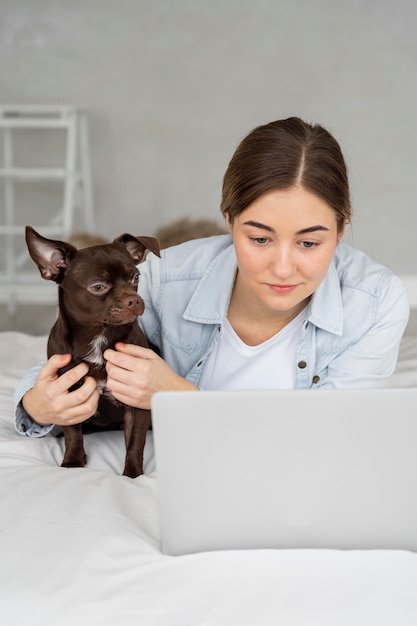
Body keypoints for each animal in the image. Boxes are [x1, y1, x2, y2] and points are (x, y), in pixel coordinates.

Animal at [25, 225, 160, 478]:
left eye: (135, 278)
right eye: (98, 287)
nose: (134, 299)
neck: (98, 334)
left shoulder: (135, 403)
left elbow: (135, 443)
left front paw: (132, 475)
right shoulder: (67, 397)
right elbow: (73, 434)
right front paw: (73, 462)